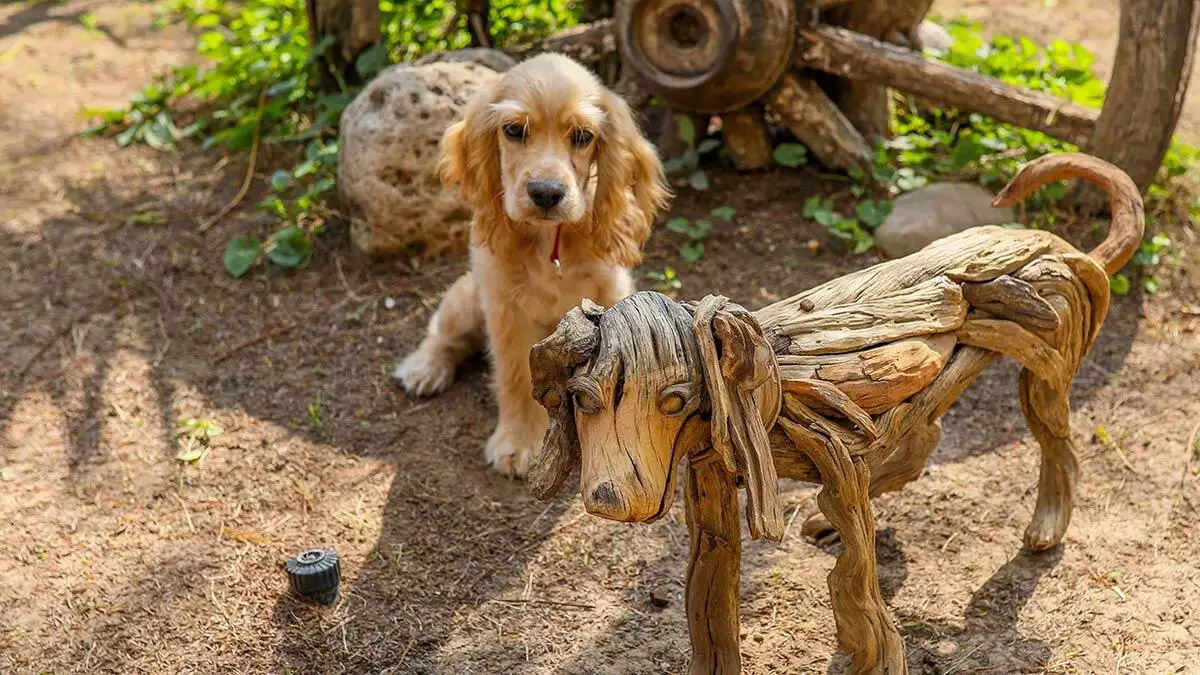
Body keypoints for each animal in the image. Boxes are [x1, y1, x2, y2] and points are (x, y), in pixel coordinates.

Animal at [396, 51, 672, 473]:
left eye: (582, 136)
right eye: (514, 131)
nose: (545, 193)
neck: (550, 243)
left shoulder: (610, 294)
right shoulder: (505, 309)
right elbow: (515, 376)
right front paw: (519, 443)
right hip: (465, 299)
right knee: (442, 333)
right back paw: (425, 368)